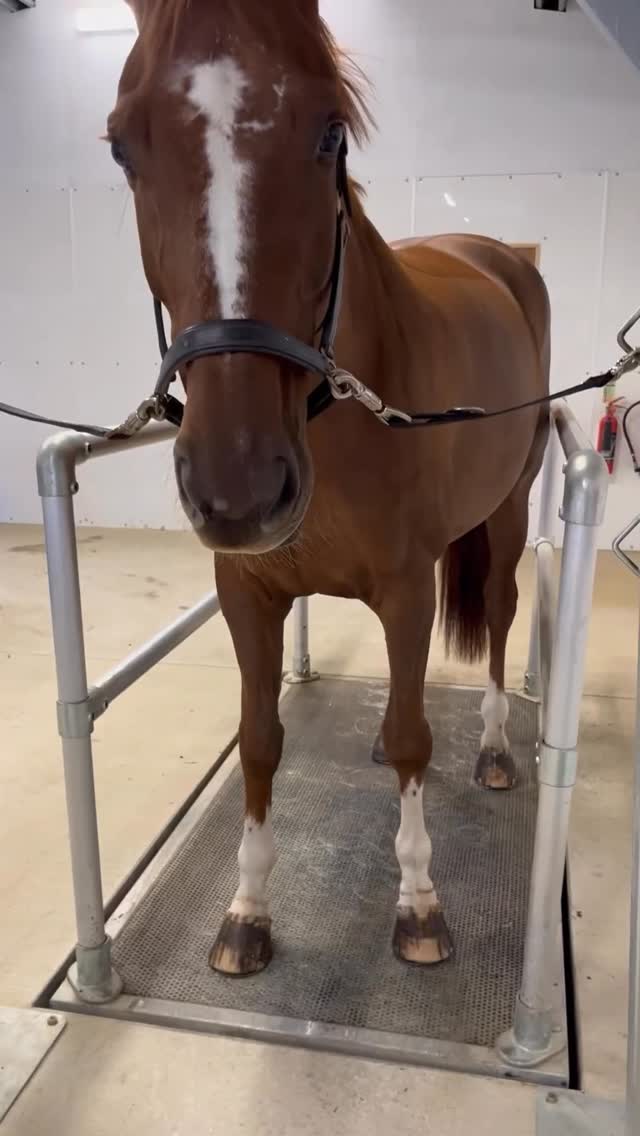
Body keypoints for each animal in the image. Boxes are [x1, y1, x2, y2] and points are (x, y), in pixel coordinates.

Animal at [110, 0, 550, 976]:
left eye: (329, 132)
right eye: (122, 144)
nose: (238, 487)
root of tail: (499, 254)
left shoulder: (409, 590)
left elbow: (417, 737)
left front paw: (419, 903)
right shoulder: (247, 591)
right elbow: (260, 741)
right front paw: (246, 910)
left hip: (507, 511)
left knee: (501, 617)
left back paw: (497, 747)